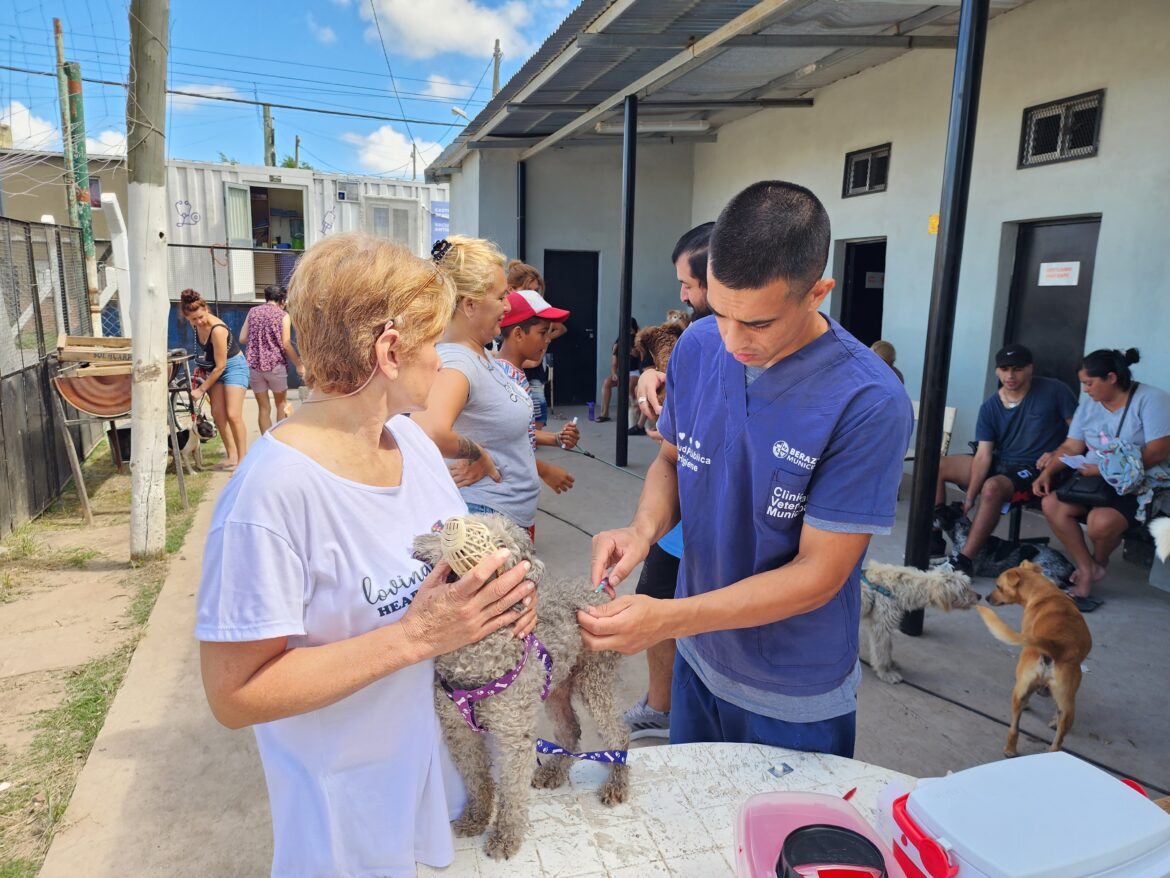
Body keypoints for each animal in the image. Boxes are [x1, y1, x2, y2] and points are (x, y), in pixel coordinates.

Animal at [414, 512, 631, 861]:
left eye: (504, 545)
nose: (452, 531)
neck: (475, 653)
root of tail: (597, 590)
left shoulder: (514, 736)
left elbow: (512, 791)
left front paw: (505, 836)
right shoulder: (457, 728)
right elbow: (475, 777)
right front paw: (477, 817)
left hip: (595, 679)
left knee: (618, 733)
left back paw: (617, 783)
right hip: (556, 686)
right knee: (571, 730)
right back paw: (555, 772)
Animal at [973, 559, 1090, 758]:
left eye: (998, 586)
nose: (986, 598)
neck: (1044, 592)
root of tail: (1055, 646)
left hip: (1022, 692)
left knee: (1015, 726)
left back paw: (1010, 750)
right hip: (1067, 705)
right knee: (1056, 740)